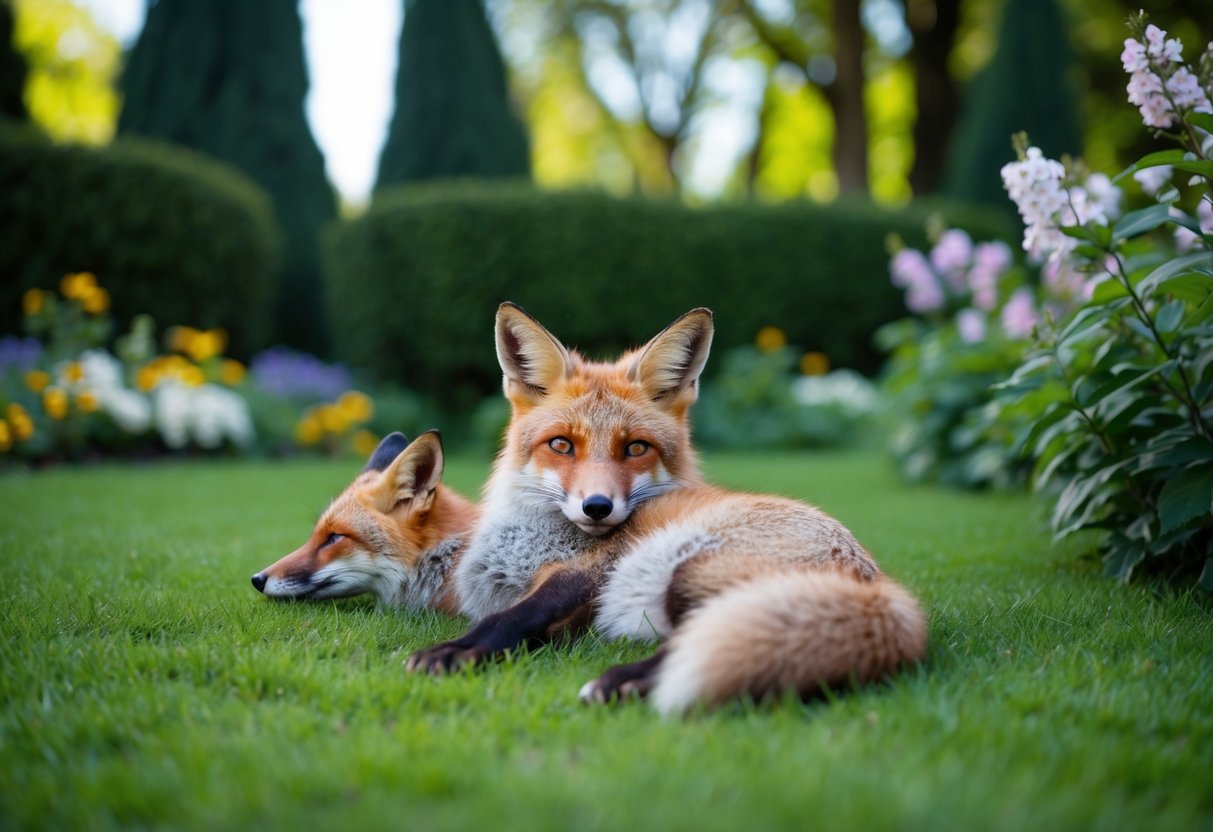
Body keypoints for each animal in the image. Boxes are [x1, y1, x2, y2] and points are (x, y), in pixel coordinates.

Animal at [407, 303, 928, 715]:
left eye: (636, 448)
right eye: (561, 445)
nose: (597, 507)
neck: (531, 543)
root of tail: (881, 588)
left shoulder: (592, 571)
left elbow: (514, 616)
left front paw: (452, 652)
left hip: (687, 569)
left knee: (697, 645)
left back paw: (622, 682)